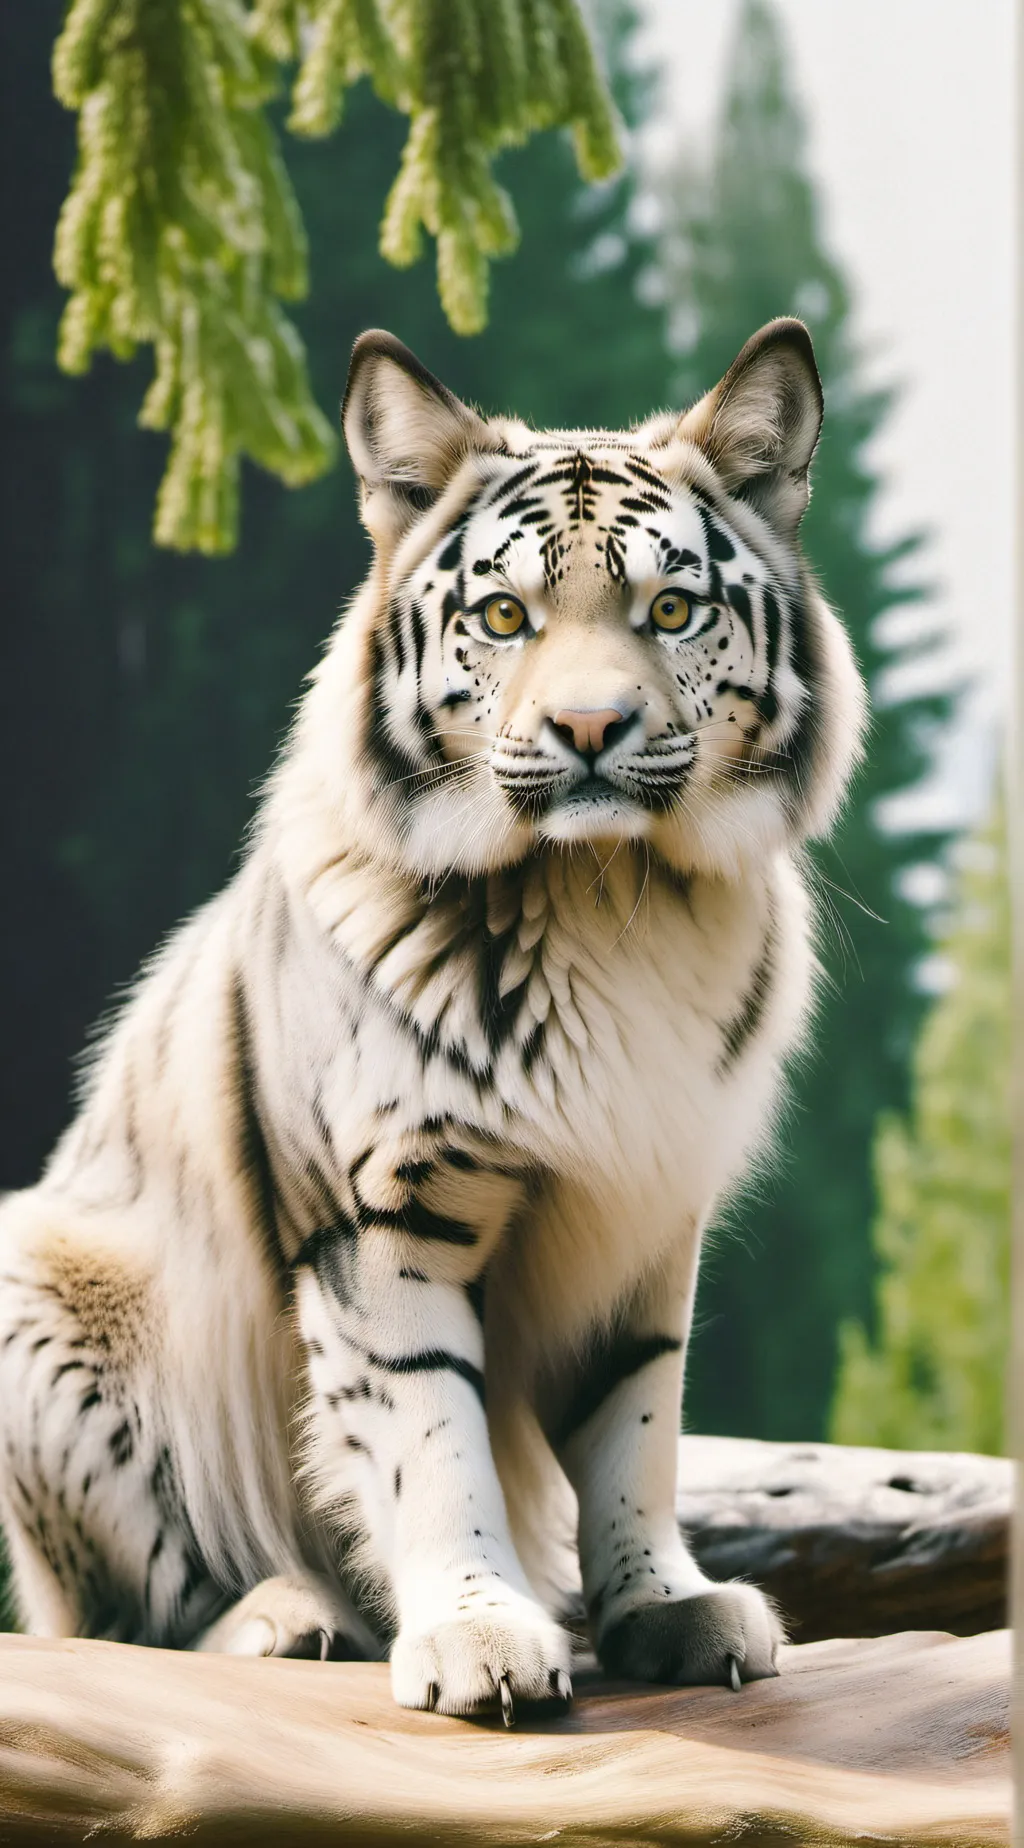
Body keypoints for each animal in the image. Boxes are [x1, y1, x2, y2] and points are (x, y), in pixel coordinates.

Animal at [0, 319, 864, 1720]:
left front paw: (663, 1611)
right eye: (504, 617)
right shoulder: (380, 1207)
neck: (602, 905)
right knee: (120, 1618)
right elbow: (430, 1434)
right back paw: (288, 1618)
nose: (588, 726)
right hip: (48, 1297)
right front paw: (478, 1639)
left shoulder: (648, 1203)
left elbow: (636, 1431)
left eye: (670, 609)